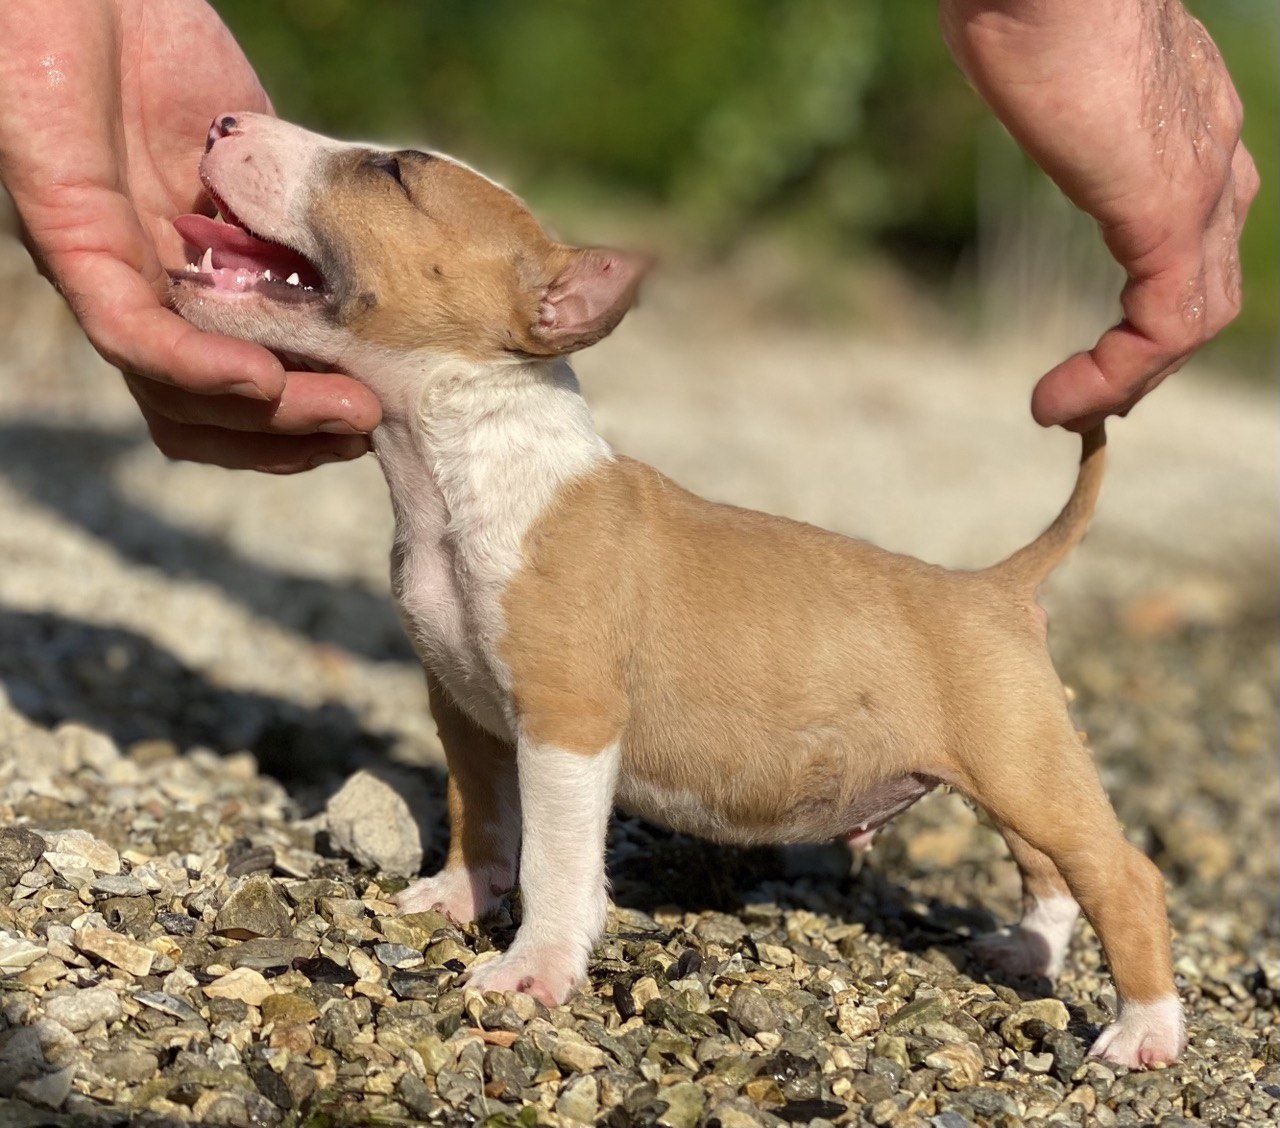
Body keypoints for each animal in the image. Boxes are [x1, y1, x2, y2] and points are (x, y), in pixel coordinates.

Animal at [170, 116, 1187, 1075]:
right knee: (1051, 872)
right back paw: (1026, 952)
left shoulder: (569, 722)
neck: (462, 465)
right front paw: (458, 895)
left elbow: (557, 858)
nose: (222, 122)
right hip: (1014, 769)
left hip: (1022, 762)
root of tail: (996, 582)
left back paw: (1145, 1032)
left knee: (1122, 875)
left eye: (395, 172)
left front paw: (533, 970)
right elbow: (479, 812)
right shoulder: (463, 708)